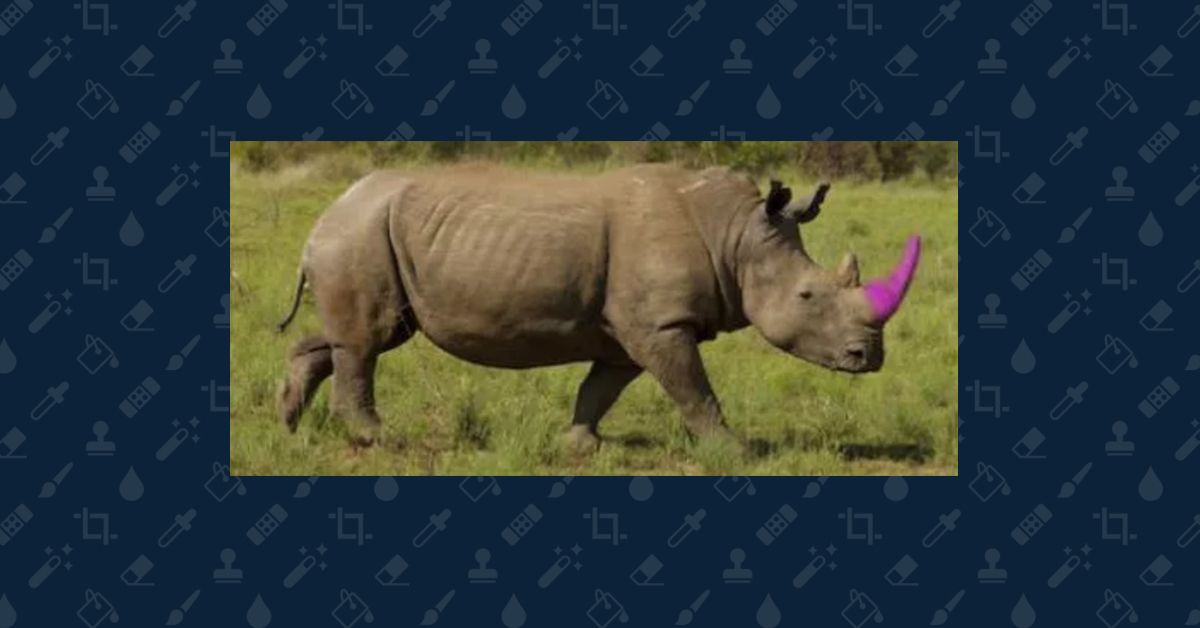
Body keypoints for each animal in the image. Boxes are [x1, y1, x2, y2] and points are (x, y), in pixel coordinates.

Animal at [276, 164, 921, 449]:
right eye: (808, 296)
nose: (868, 358)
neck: (736, 236)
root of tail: (327, 212)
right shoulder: (662, 323)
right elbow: (695, 389)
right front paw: (732, 452)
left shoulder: (634, 328)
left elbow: (602, 386)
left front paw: (577, 446)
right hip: (360, 234)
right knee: (368, 340)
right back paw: (377, 440)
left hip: (367, 236)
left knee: (358, 337)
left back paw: (288, 421)